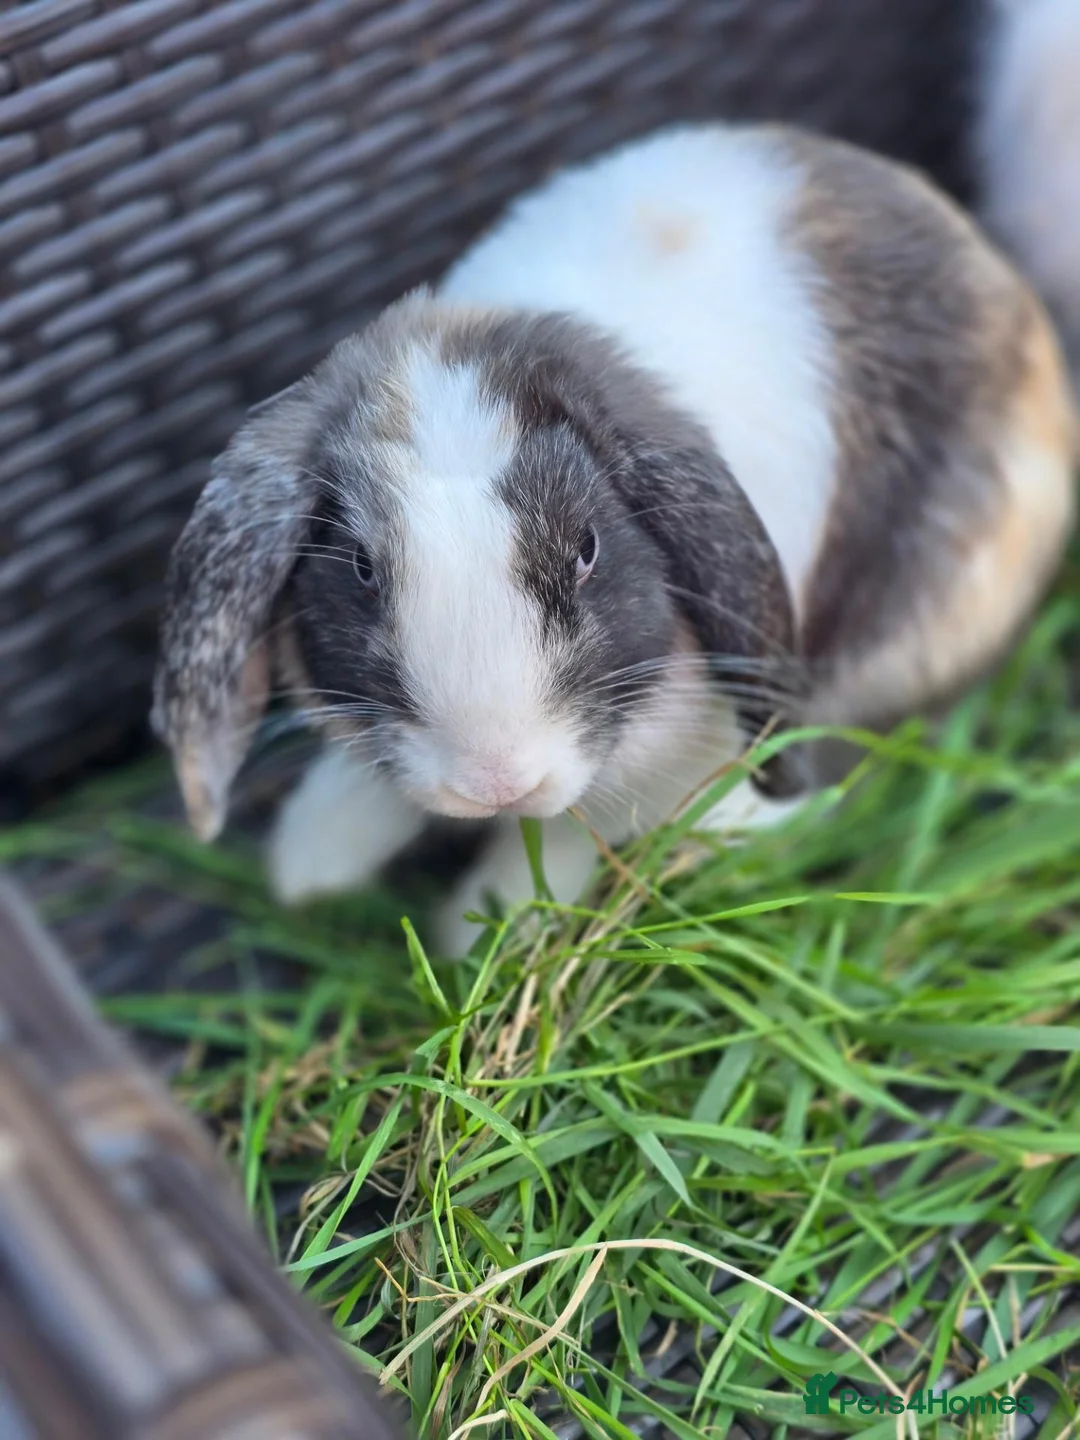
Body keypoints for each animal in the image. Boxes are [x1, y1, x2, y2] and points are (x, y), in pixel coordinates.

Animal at [151, 121, 1077, 955]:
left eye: (588, 548)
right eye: (360, 567)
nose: (495, 780)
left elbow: (575, 831)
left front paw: (491, 928)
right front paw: (312, 862)